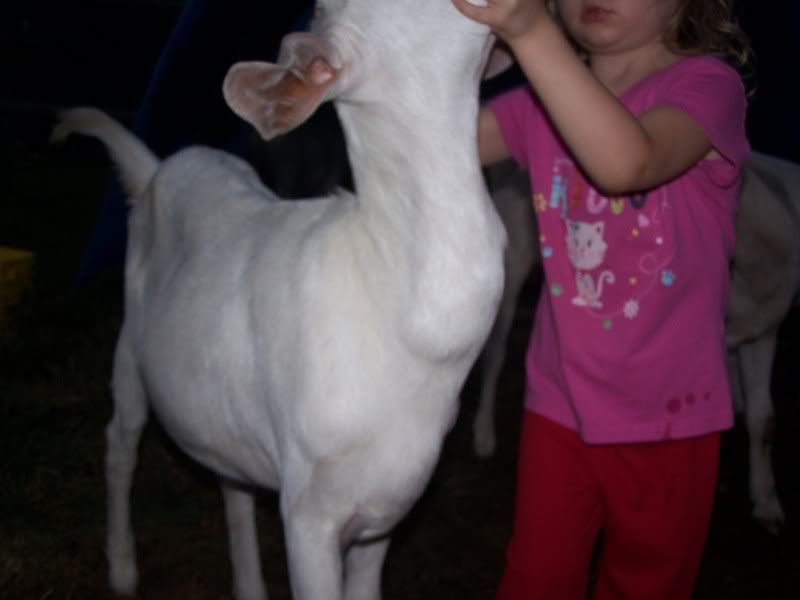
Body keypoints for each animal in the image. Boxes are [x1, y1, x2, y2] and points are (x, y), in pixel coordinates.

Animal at [52, 1, 504, 598]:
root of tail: (154, 173)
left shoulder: (385, 511)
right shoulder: (309, 514)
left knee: (230, 481)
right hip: (129, 347)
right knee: (120, 443)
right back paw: (123, 568)